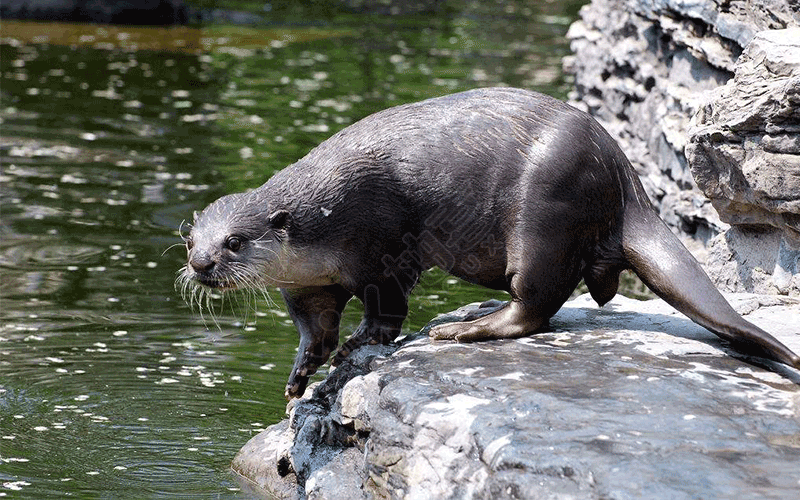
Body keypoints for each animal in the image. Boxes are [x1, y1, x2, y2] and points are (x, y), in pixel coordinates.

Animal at [177, 87, 800, 398]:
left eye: (235, 242)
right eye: (191, 240)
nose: (203, 264)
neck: (324, 222)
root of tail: (620, 172)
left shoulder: (382, 245)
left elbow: (385, 310)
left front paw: (363, 342)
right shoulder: (308, 286)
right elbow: (316, 331)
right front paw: (300, 375)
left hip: (545, 209)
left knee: (536, 305)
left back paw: (465, 329)